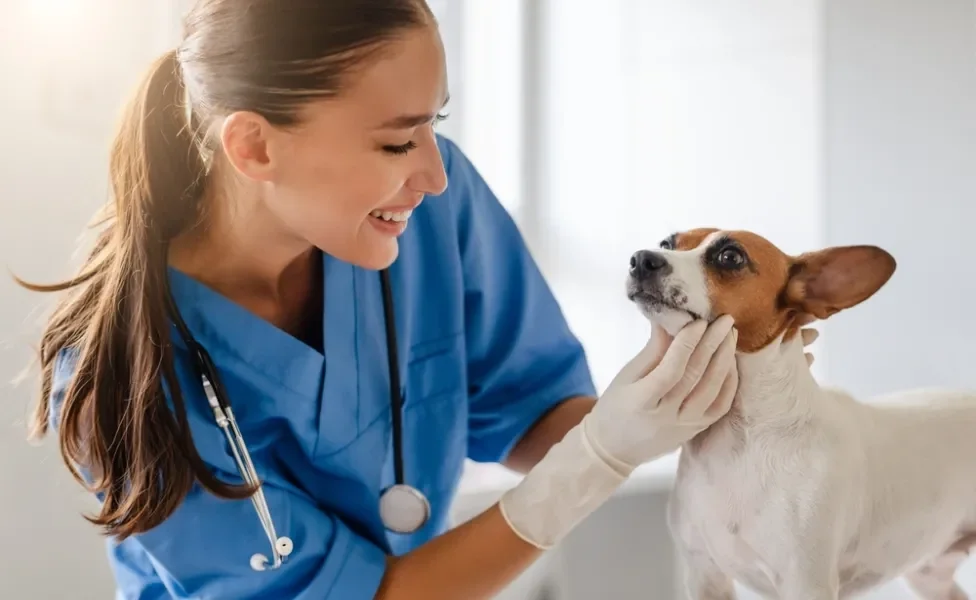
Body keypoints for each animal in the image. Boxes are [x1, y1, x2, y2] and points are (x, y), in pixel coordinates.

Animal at [628, 227, 976, 596]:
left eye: (730, 257)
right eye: (667, 244)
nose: (641, 259)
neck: (741, 438)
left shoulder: (805, 582)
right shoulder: (704, 575)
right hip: (931, 579)